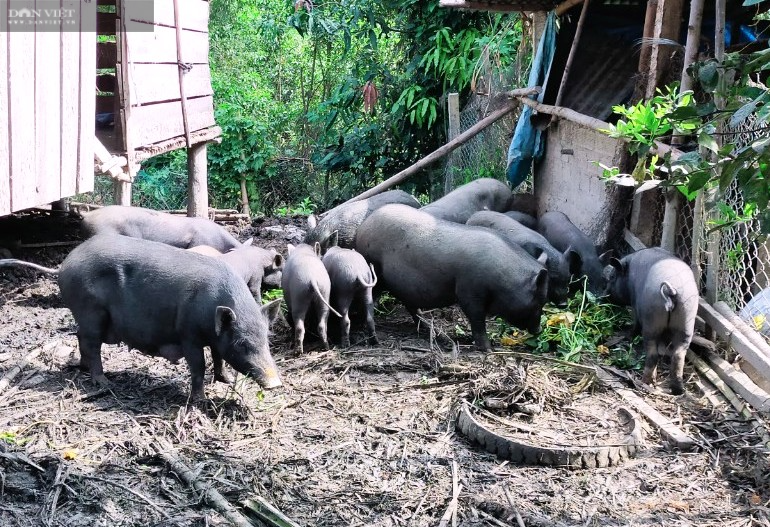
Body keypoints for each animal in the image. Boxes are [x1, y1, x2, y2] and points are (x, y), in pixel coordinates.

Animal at [58, 235, 282, 400]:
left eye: (266, 340)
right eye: (241, 344)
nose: (275, 383)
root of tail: (68, 261)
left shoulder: (215, 338)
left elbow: (219, 359)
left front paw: (225, 380)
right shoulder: (188, 334)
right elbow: (199, 366)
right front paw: (200, 400)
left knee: (80, 337)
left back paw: (84, 368)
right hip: (91, 311)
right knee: (91, 344)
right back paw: (104, 382)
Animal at [354, 205, 544, 350]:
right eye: (538, 301)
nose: (539, 330)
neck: (504, 280)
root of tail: (364, 225)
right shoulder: (469, 292)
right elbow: (477, 319)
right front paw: (488, 349)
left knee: (410, 305)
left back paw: (427, 327)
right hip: (374, 269)